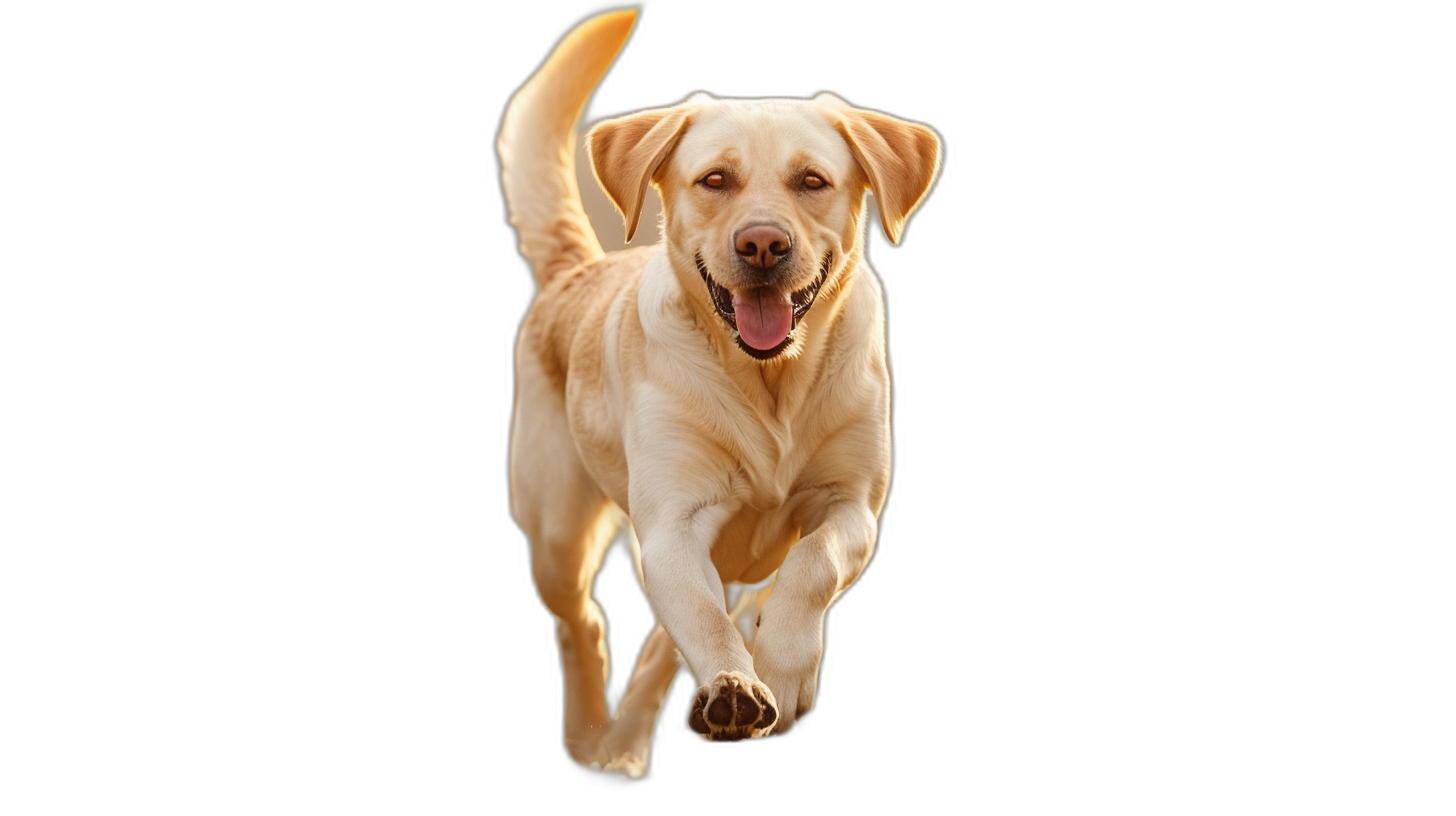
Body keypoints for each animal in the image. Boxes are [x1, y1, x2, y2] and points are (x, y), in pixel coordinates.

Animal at [495, 6, 937, 781]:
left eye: (813, 180)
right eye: (715, 179)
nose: (763, 244)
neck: (771, 384)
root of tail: (579, 269)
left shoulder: (851, 507)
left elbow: (810, 565)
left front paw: (781, 671)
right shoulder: (673, 525)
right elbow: (698, 617)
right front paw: (739, 683)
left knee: (661, 644)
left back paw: (638, 735)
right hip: (556, 534)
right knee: (587, 621)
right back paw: (596, 736)